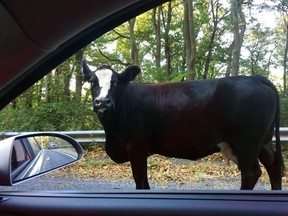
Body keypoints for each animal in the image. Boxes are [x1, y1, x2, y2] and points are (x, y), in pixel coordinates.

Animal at [81, 60, 284, 190]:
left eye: (115, 82)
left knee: (251, 172)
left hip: (246, 143)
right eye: (92, 82)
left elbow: (141, 183)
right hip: (263, 141)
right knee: (274, 167)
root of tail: (256, 78)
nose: (102, 102)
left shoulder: (136, 148)